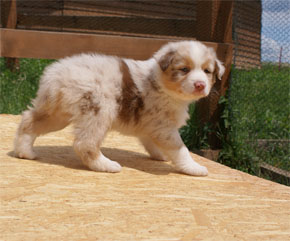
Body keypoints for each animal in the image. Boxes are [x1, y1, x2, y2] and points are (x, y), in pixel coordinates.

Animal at [14, 41, 224, 177]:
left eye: (207, 71)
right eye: (184, 69)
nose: (200, 85)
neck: (161, 82)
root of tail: (56, 75)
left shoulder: (152, 126)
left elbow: (151, 142)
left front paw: (161, 155)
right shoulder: (164, 127)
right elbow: (181, 149)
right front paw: (194, 168)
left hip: (57, 113)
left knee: (28, 120)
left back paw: (25, 152)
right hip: (99, 110)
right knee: (85, 144)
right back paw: (106, 165)